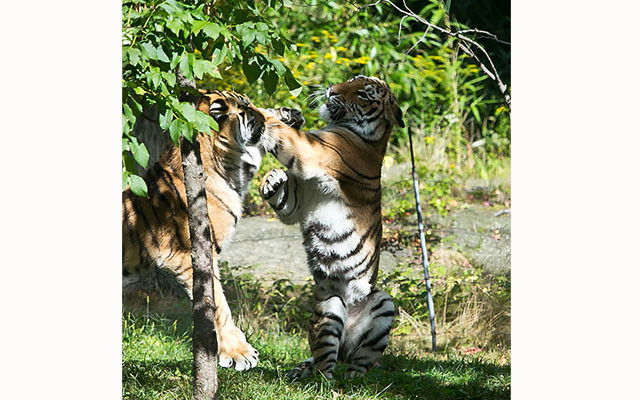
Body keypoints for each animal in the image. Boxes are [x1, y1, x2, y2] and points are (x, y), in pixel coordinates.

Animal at [258, 75, 402, 378]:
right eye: (352, 79)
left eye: (363, 94)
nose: (331, 91)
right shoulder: (300, 197)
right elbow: (285, 199)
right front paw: (272, 179)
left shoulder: (311, 151)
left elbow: (282, 132)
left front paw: (262, 112)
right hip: (328, 306)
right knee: (324, 356)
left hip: (382, 303)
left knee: (350, 364)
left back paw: (349, 380)